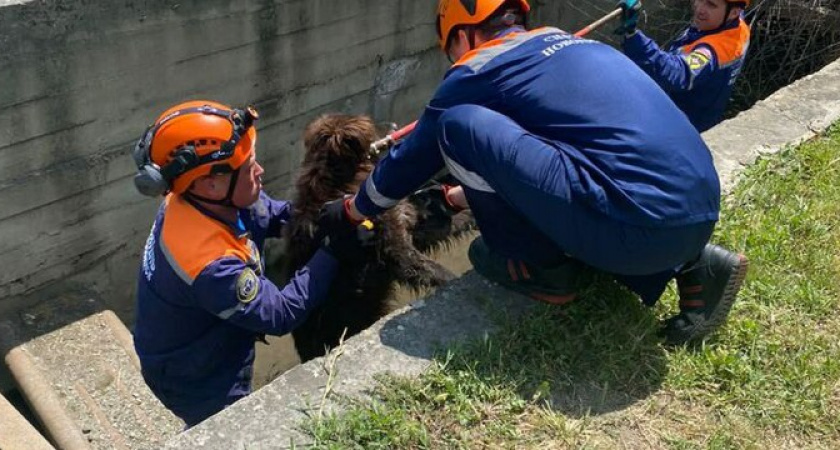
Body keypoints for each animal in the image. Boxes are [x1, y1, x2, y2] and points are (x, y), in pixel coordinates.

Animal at [282, 113, 476, 362]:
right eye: (375, 128)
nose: (394, 125)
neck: (339, 180)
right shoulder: (393, 244)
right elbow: (418, 263)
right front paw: (451, 282)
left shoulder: (409, 226)